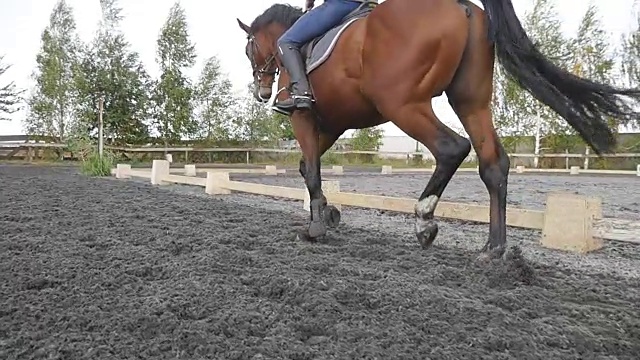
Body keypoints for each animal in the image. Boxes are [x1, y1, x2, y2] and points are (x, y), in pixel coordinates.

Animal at [238, 0, 640, 258]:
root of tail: (462, 6)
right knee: (493, 163)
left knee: (451, 148)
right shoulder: (335, 124)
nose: (261, 91)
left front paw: (316, 228)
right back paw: (493, 251)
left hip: (403, 104)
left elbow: (311, 170)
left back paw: (425, 222)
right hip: (470, 101)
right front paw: (327, 214)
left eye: (248, 49)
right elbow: (309, 168)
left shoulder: (304, 117)